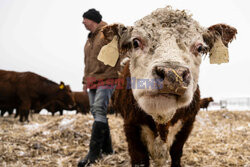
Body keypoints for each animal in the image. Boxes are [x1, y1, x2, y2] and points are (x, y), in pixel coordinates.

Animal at [101, 5, 236, 167]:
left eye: (200, 48)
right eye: (135, 42)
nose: (172, 74)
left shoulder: (187, 124)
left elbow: (176, 153)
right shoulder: (130, 126)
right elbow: (139, 158)